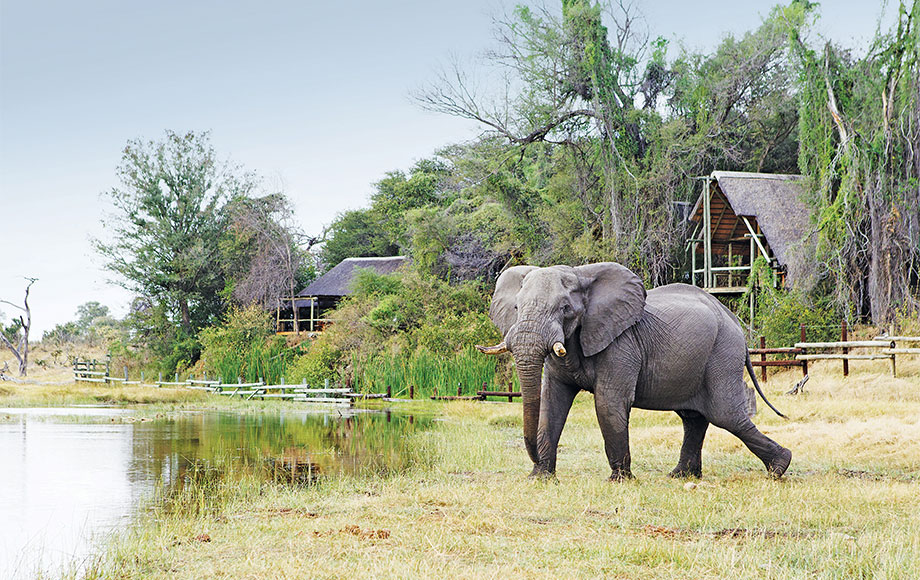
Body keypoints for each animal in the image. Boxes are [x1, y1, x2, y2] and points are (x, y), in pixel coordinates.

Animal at [474, 262, 792, 480]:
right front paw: (540, 478)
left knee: (725, 415)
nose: (535, 460)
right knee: (694, 418)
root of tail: (735, 321)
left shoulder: (621, 343)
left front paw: (619, 481)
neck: (581, 275)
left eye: (565, 308)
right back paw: (681, 476)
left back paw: (779, 468)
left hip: (722, 353)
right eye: (517, 308)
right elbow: (552, 403)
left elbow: (608, 402)